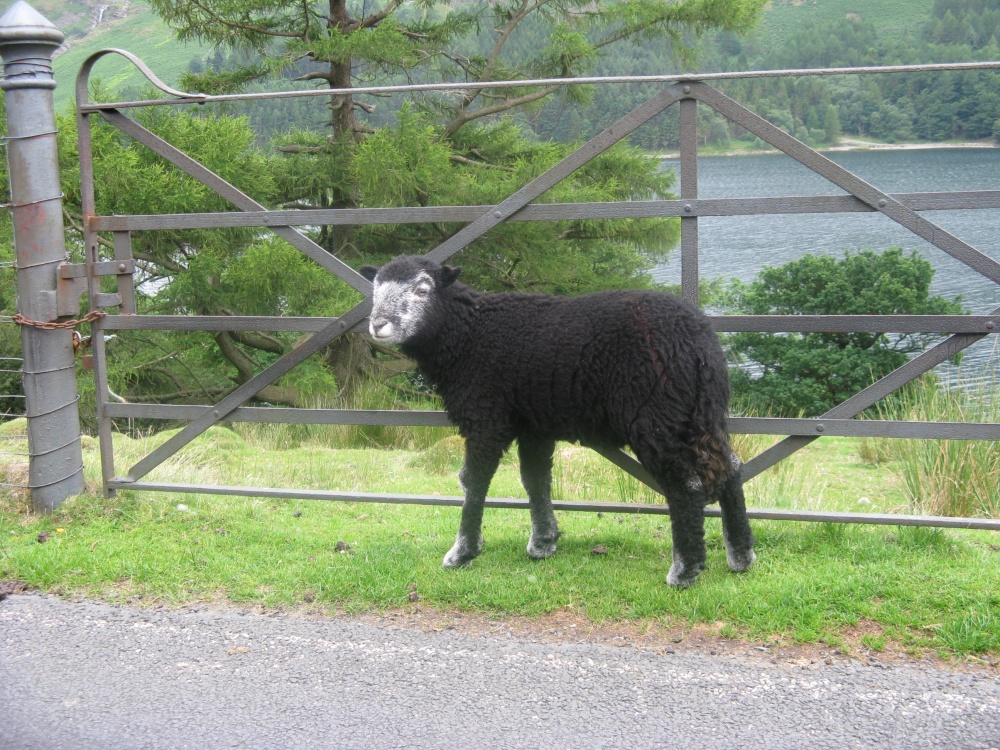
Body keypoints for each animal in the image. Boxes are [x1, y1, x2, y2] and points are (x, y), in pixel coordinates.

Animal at [360, 255, 756, 587]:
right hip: (701, 411)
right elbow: (535, 479)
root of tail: (697, 340)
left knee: (687, 484)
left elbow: (473, 481)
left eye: (422, 290)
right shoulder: (534, 424)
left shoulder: (486, 416)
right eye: (375, 290)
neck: (467, 336)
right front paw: (543, 543)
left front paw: (462, 553)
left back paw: (685, 570)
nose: (377, 325)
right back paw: (741, 555)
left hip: (655, 416)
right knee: (732, 468)